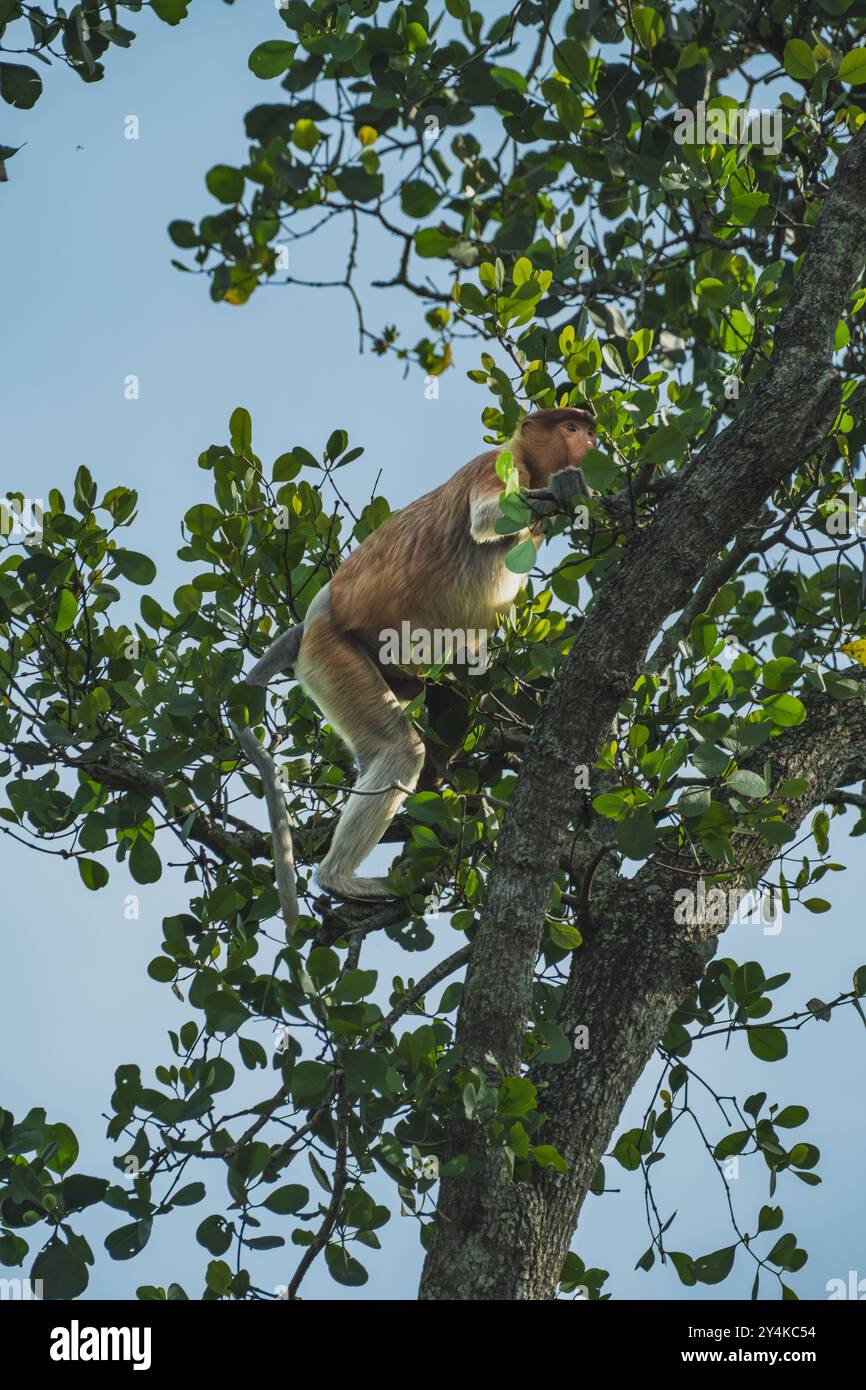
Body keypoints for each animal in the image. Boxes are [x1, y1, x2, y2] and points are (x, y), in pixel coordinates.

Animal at [236, 406, 597, 927]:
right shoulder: (499, 463)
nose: (589, 443)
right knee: (399, 749)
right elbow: (487, 516)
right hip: (334, 655)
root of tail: (318, 615)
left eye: (587, 430)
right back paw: (341, 880)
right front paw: (566, 486)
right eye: (570, 429)